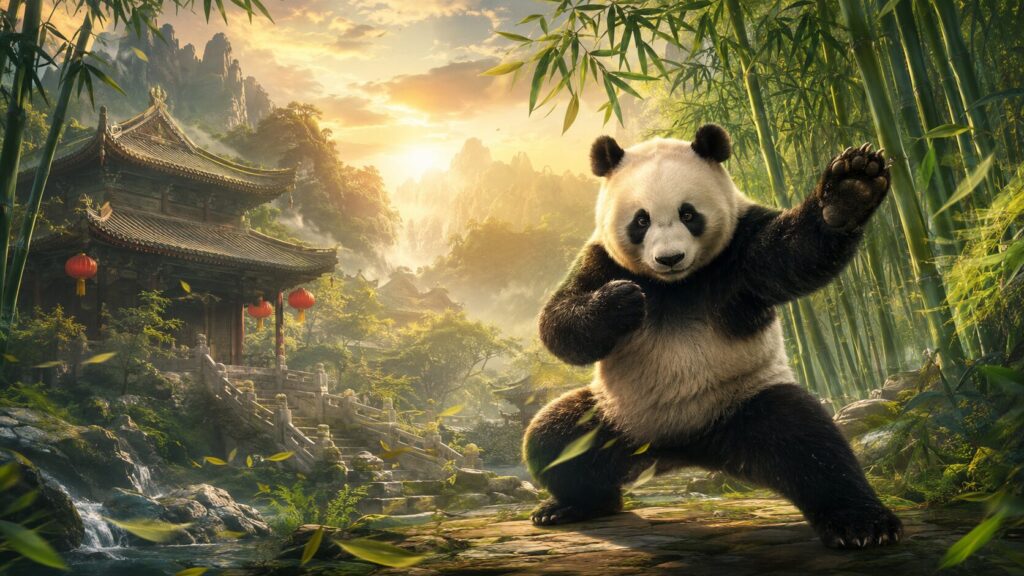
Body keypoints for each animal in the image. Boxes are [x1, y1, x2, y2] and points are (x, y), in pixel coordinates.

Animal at [523, 124, 903, 549]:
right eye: (641, 221)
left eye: (688, 214)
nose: (669, 258)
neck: (676, 285)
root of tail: (678, 449)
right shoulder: (600, 259)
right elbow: (557, 321)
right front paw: (620, 302)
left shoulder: (740, 249)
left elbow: (796, 255)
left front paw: (850, 190)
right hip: (615, 418)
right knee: (555, 440)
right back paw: (573, 505)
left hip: (742, 401)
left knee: (811, 446)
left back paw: (862, 524)